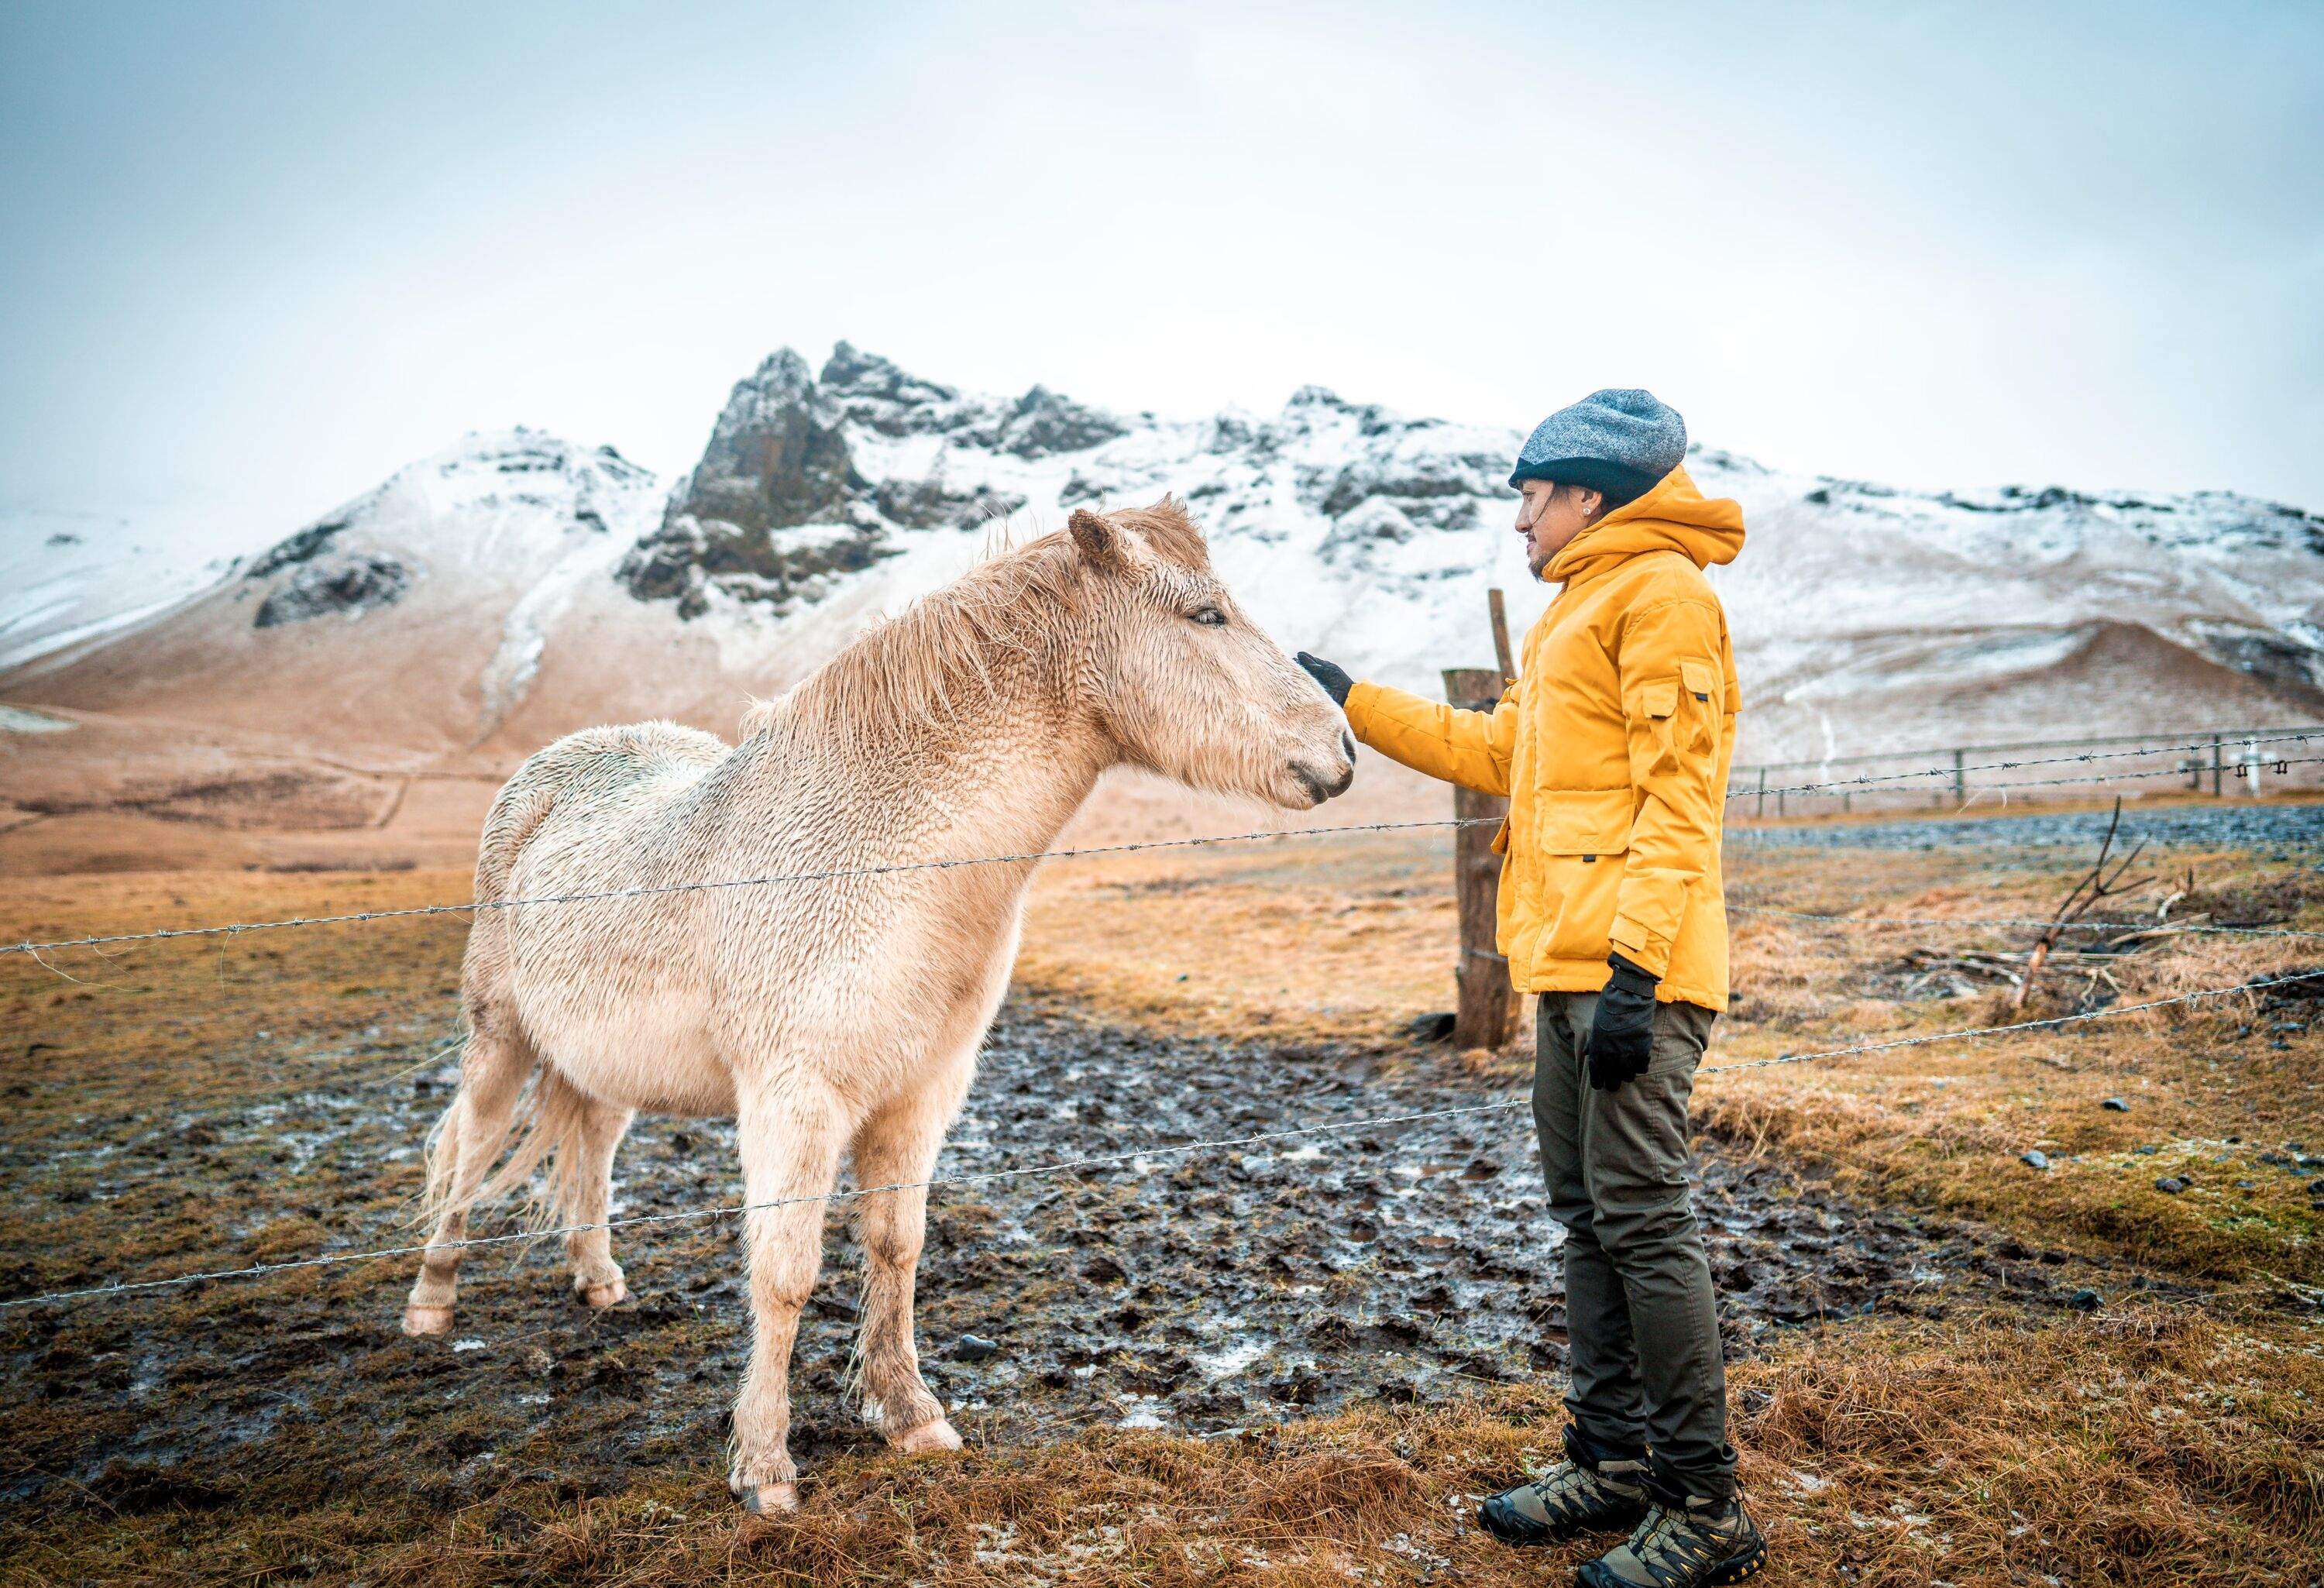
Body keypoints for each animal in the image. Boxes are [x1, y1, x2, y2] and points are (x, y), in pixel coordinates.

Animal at [395, 502, 1348, 1506]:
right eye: (1206, 615)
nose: (1343, 752)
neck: (885, 852)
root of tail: (547, 771)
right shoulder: (796, 1099)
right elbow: (785, 1271)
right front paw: (766, 1467)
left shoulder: (920, 1093)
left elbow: (897, 1245)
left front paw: (909, 1415)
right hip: (500, 1040)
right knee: (470, 1148)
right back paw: (431, 1300)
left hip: (605, 1065)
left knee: (591, 1148)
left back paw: (598, 1278)